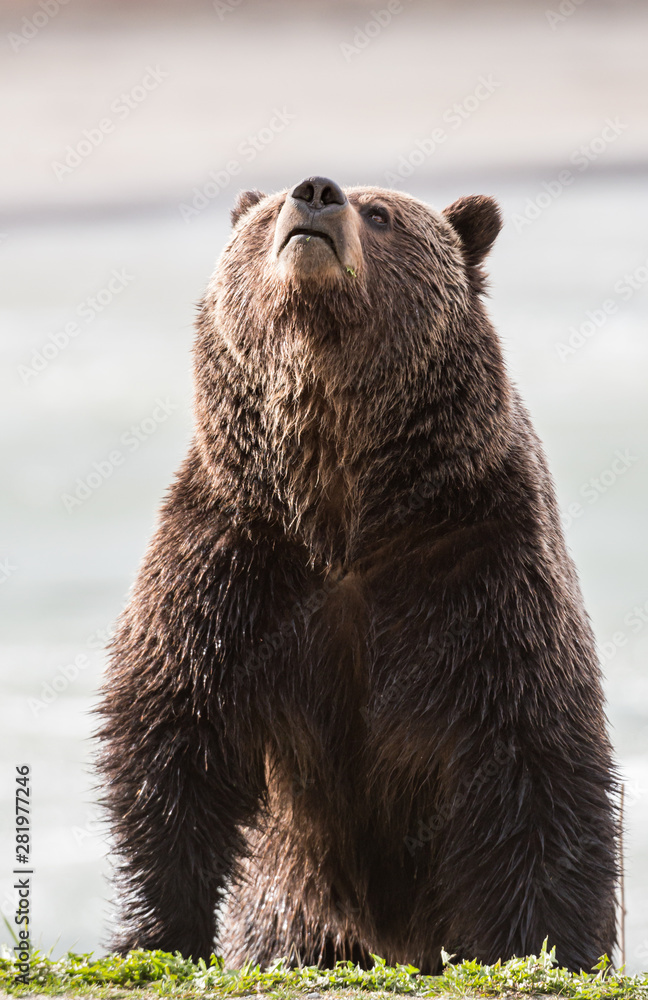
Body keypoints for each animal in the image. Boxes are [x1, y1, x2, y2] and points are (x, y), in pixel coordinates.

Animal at [97, 176, 619, 974]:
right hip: (292, 898)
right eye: (268, 210)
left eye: (382, 214)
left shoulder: (476, 565)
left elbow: (533, 752)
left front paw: (547, 943)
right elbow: (171, 728)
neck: (343, 510)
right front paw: (155, 933)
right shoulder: (235, 559)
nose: (316, 192)